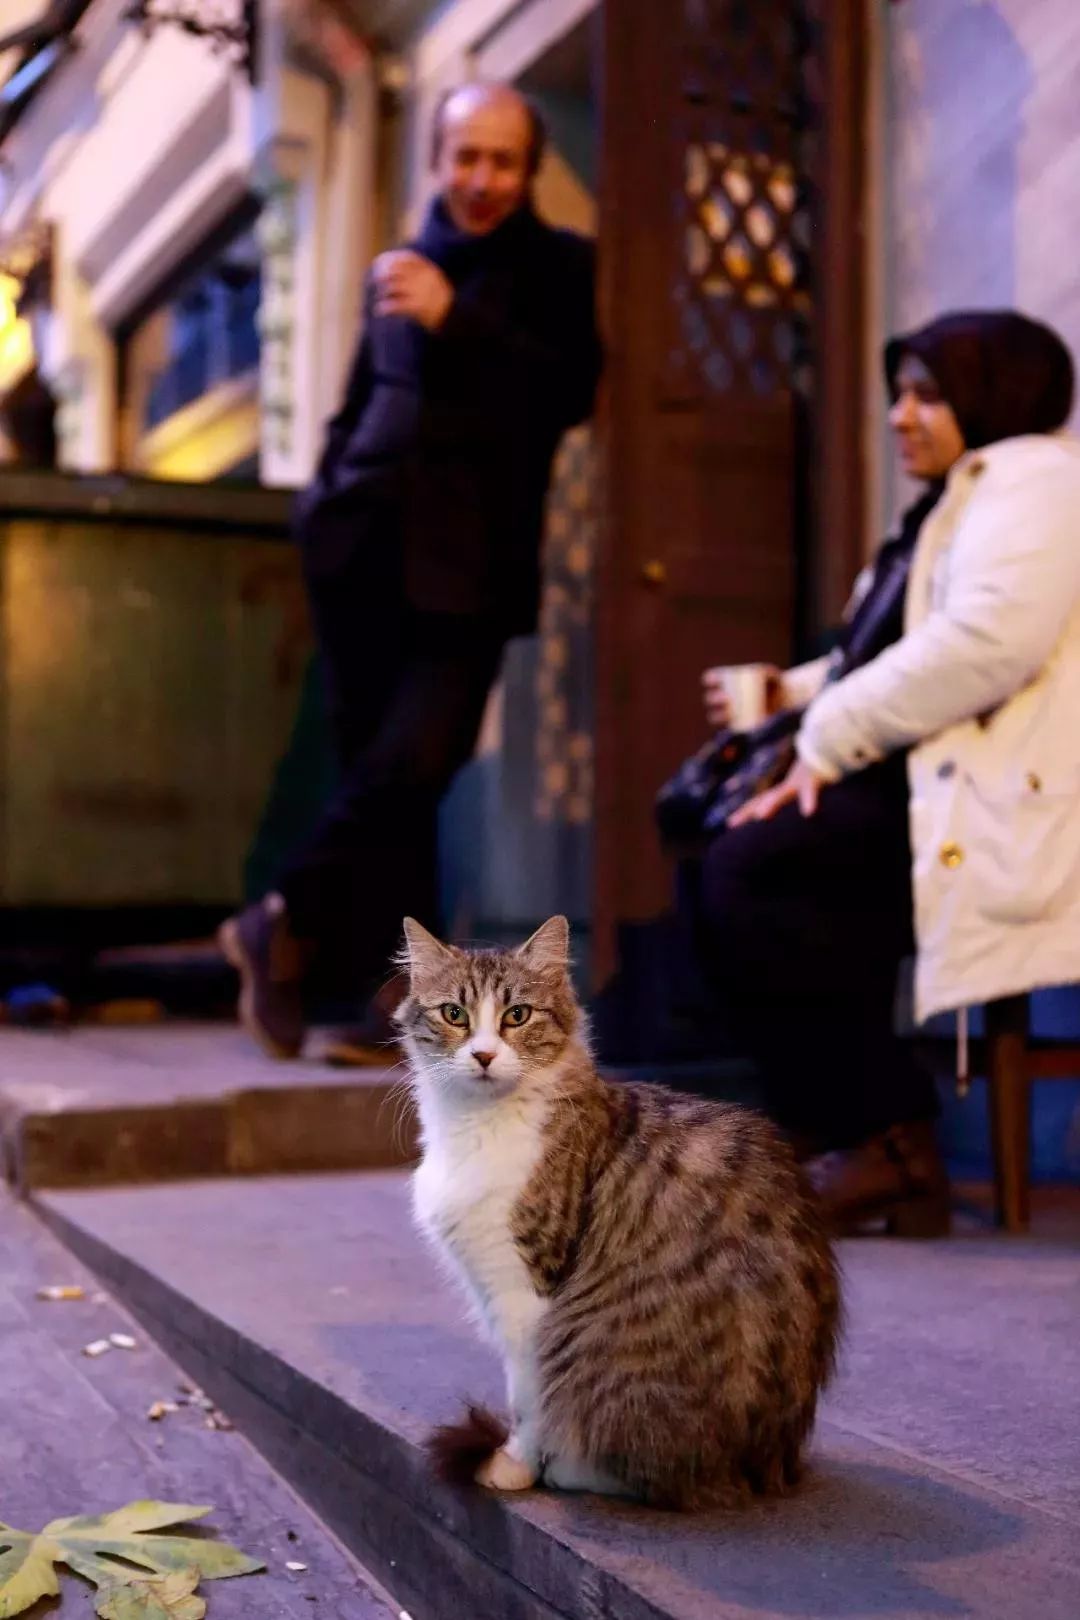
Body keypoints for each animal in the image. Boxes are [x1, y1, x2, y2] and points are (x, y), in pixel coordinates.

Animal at [396, 913, 841, 1503]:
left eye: (517, 1015)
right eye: (454, 1015)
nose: (484, 1055)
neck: (476, 1125)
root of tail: (769, 1465)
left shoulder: (525, 1293)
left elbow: (528, 1399)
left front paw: (516, 1466)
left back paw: (570, 1468)